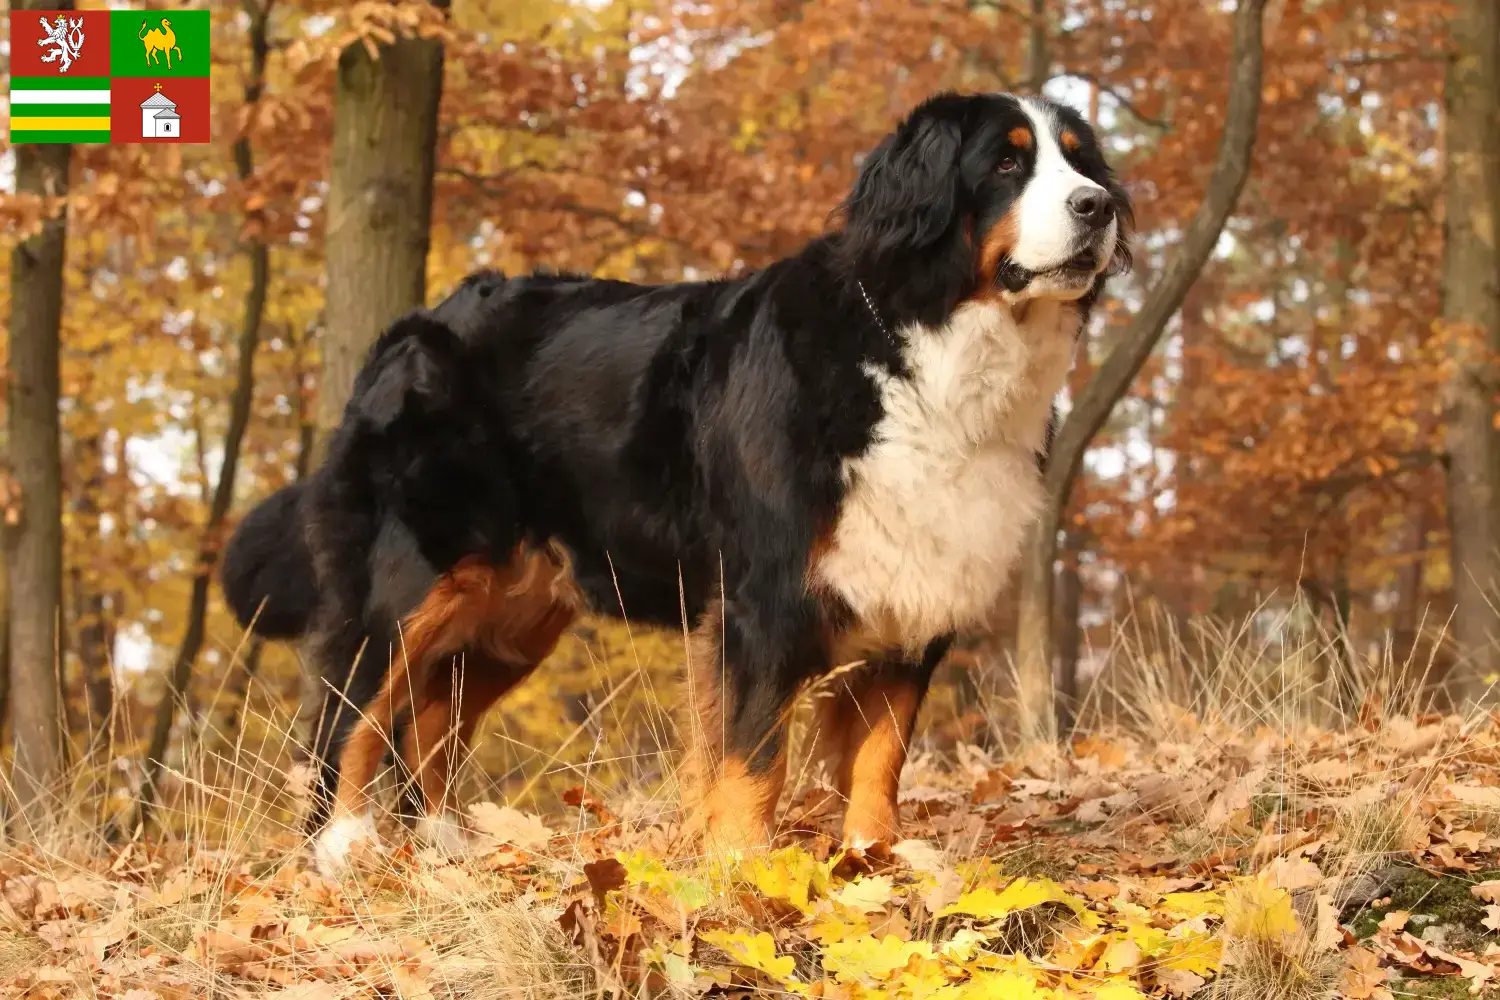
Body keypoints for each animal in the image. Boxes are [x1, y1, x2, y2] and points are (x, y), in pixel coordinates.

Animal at [219, 89, 1128, 869]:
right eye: (1007, 163)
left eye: (1081, 161)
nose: (1099, 207)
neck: (926, 352)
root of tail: (412, 324)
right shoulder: (763, 604)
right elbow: (754, 759)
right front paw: (744, 873)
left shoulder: (914, 591)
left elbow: (880, 757)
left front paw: (875, 863)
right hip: (415, 577)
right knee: (351, 709)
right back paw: (341, 847)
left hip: (511, 615)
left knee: (434, 719)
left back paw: (443, 848)